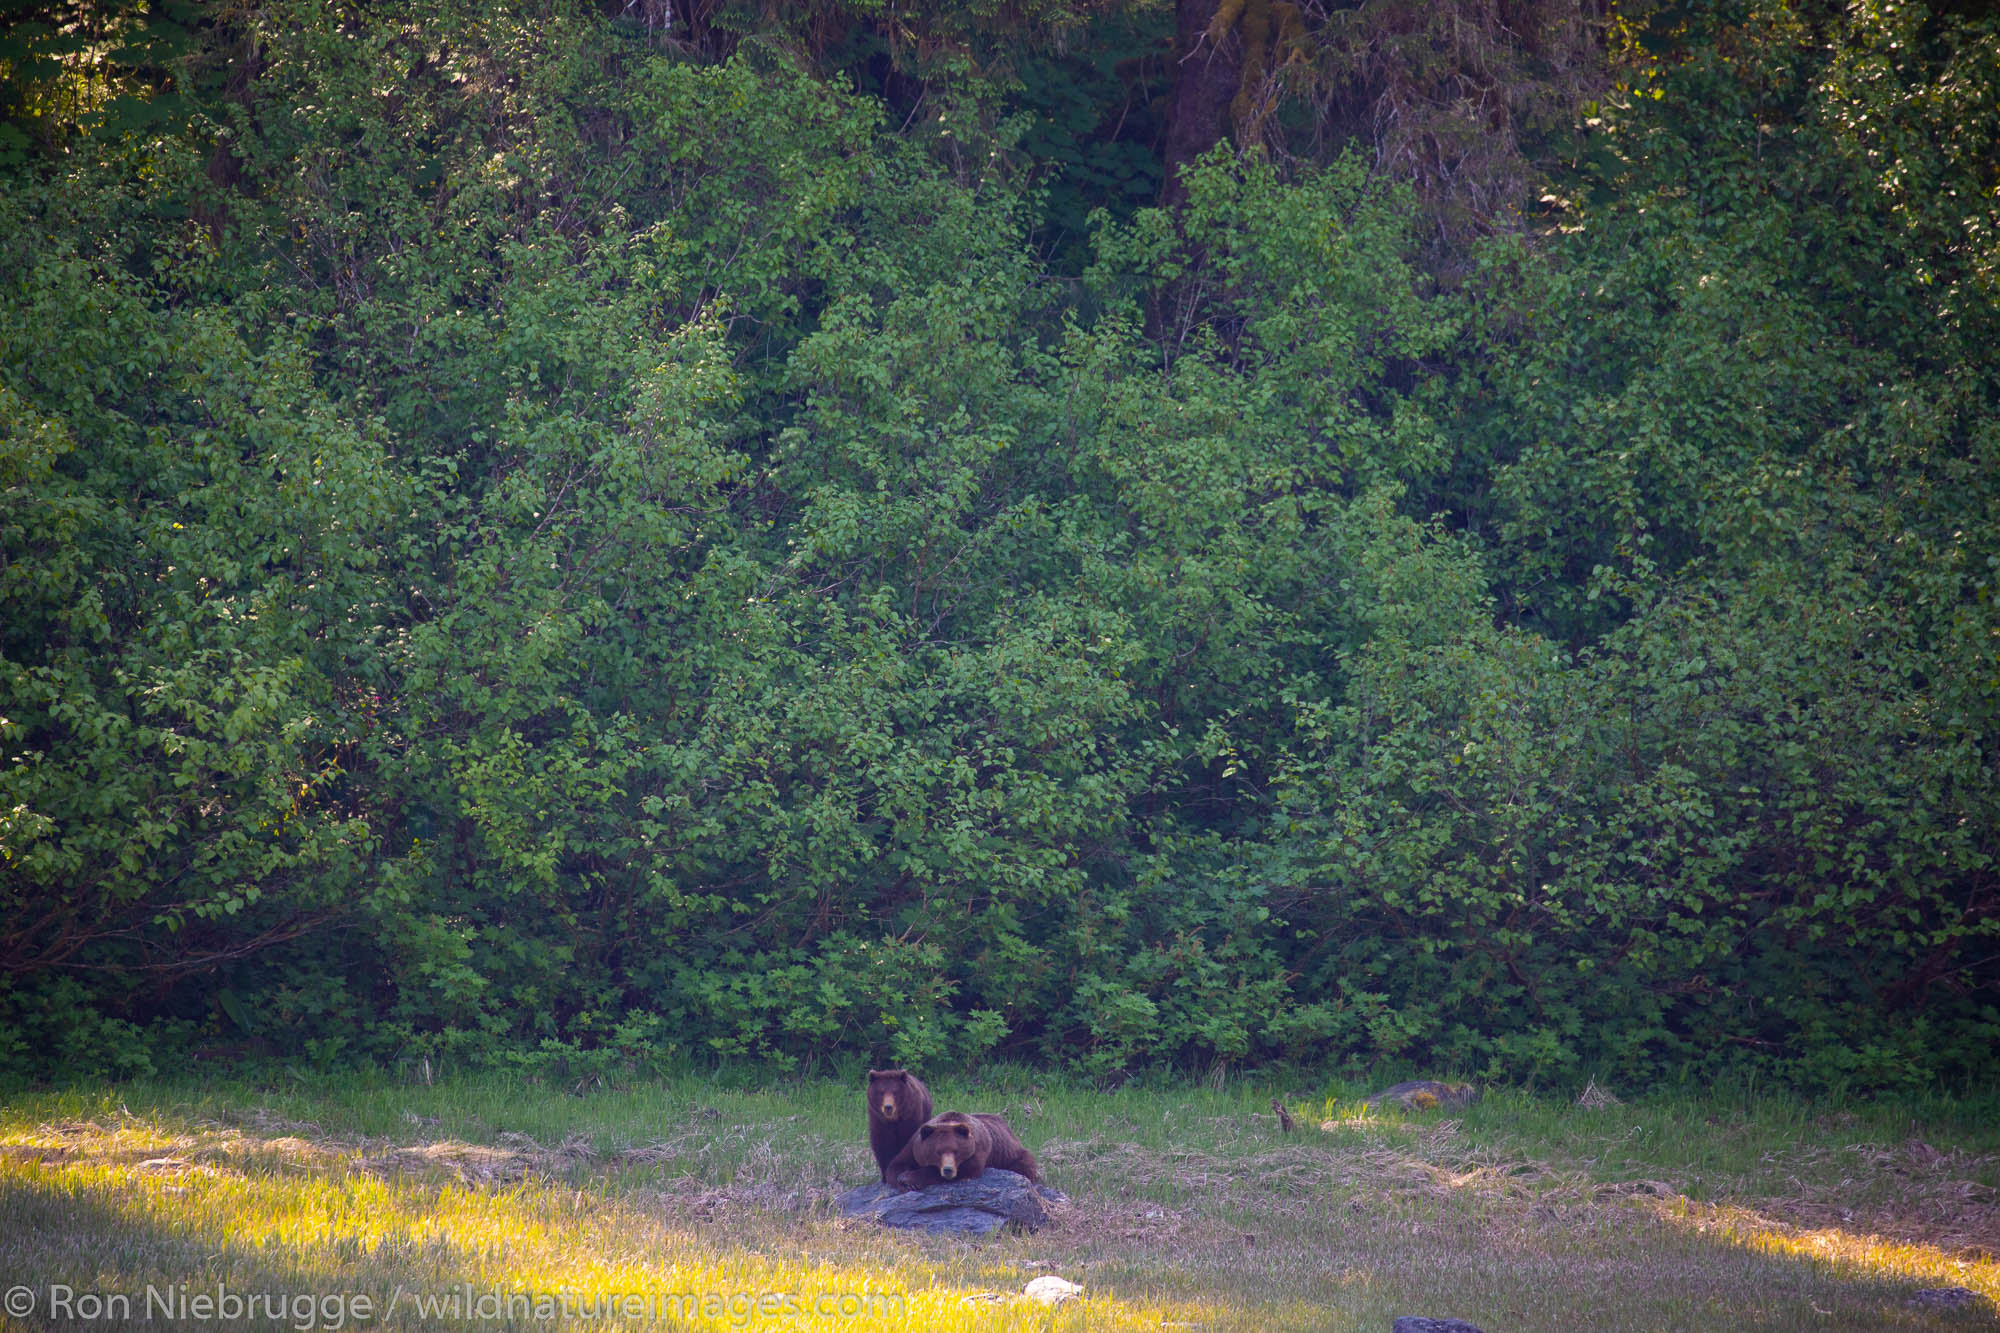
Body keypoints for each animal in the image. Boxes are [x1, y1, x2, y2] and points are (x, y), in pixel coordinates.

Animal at [892, 1104, 1048, 1184]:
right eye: (937, 1152)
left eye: (956, 1151)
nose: (948, 1170)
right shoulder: (914, 1145)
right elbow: (897, 1164)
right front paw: (903, 1178)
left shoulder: (978, 1147)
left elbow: (969, 1168)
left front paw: (910, 1178)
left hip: (1011, 1154)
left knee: (1024, 1164)